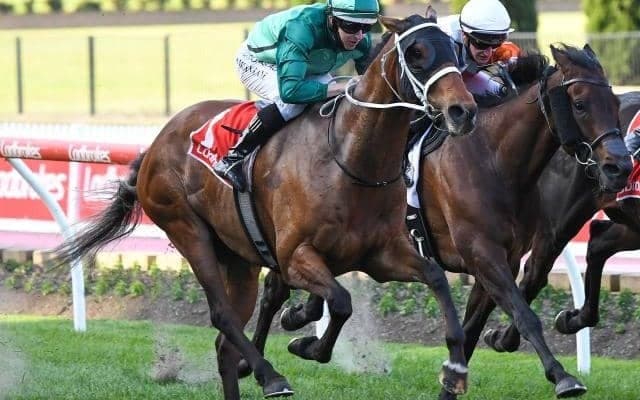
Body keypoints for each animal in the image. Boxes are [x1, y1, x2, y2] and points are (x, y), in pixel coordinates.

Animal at [54, 8, 478, 400]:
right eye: (416, 52)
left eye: (454, 50)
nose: (464, 110)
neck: (349, 160)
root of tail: (155, 144)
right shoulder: (294, 256)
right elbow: (340, 302)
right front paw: (304, 340)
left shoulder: (381, 256)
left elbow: (436, 278)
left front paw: (456, 369)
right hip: (187, 230)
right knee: (222, 316)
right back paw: (270, 376)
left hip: (238, 257)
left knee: (225, 345)